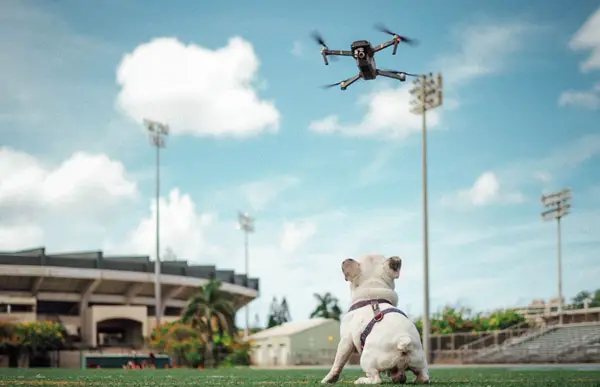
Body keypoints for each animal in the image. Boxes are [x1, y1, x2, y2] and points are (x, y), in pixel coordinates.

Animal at [322, 255, 428, 384]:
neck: (373, 293)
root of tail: (403, 341)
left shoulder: (345, 340)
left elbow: (338, 362)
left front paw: (328, 379)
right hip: (420, 361)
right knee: (423, 377)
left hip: (366, 360)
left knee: (376, 379)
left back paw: (361, 380)